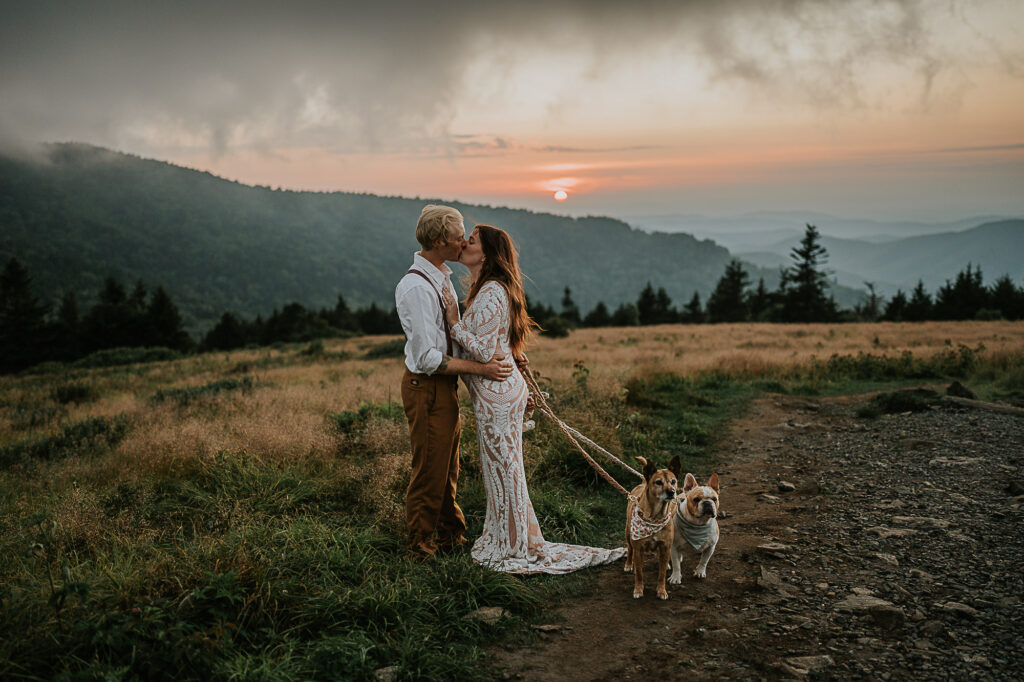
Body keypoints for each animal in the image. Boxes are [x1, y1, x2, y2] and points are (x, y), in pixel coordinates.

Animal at [622, 454, 679, 598]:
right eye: (658, 482)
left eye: (673, 481)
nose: (671, 492)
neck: (655, 517)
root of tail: (643, 482)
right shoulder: (638, 549)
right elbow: (640, 574)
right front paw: (638, 590)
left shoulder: (665, 546)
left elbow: (661, 574)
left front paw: (661, 590)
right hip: (628, 534)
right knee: (630, 549)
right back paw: (629, 564)